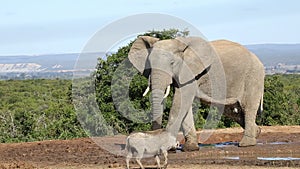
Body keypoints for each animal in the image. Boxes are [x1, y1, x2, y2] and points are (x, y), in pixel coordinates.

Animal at [127, 36, 264, 151]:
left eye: (172, 63)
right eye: (149, 64)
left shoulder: (192, 72)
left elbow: (180, 102)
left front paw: (169, 147)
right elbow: (184, 105)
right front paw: (190, 148)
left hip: (253, 77)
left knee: (247, 108)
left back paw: (246, 144)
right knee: (233, 111)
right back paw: (257, 132)